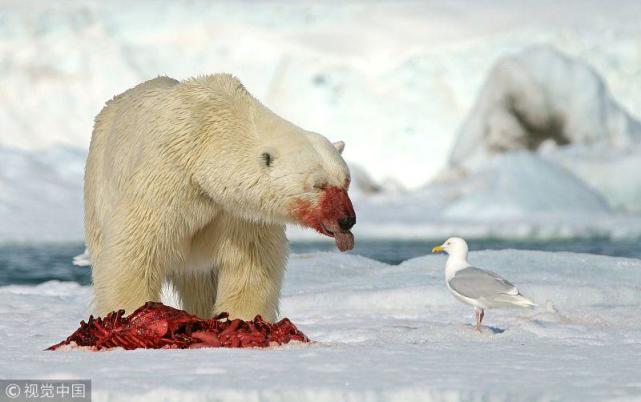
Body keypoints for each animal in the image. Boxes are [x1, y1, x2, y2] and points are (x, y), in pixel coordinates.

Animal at [84, 74, 356, 321]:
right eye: (318, 184)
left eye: (346, 181)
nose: (347, 220)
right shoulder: (167, 178)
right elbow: (137, 246)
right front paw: (131, 315)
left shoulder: (241, 211)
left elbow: (250, 263)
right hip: (98, 186)